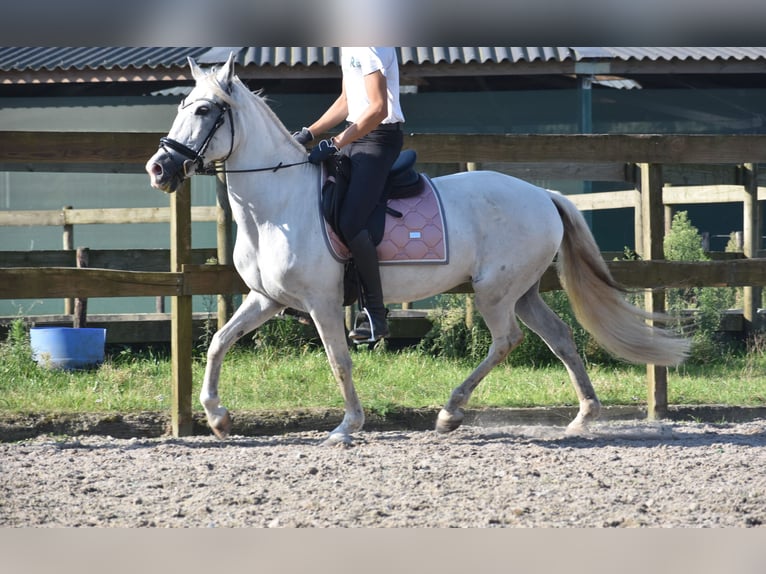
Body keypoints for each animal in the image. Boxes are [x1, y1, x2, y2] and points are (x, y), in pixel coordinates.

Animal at [147, 55, 692, 446]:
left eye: (203, 110)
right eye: (181, 106)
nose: (158, 168)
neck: (276, 205)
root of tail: (542, 194)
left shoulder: (322, 302)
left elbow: (338, 360)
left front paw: (347, 426)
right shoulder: (268, 299)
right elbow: (219, 343)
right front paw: (218, 419)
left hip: (495, 292)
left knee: (506, 340)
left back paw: (450, 413)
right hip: (522, 290)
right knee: (558, 336)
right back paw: (583, 416)